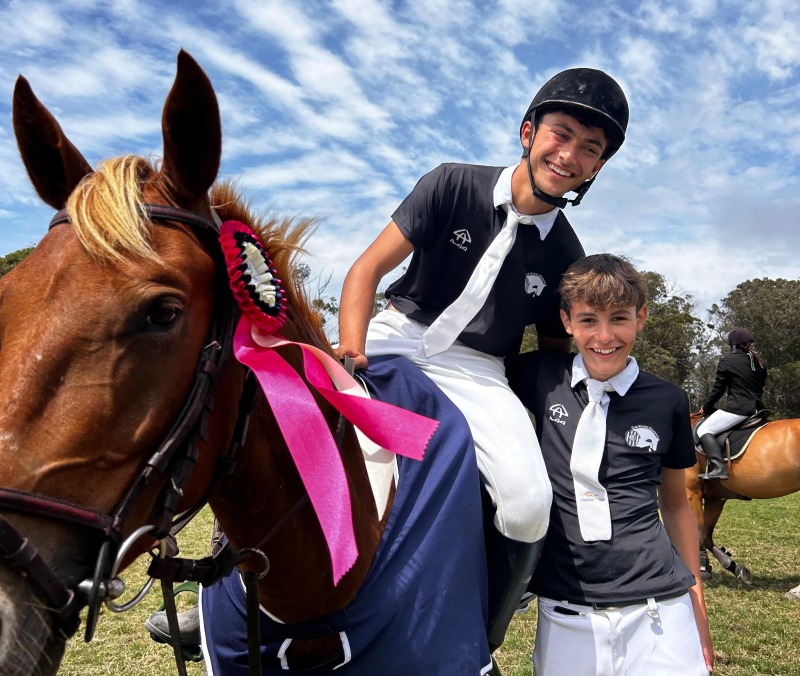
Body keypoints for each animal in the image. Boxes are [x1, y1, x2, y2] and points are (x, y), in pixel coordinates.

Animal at [684, 410, 800, 588]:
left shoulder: (692, 492)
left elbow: (700, 533)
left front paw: (703, 569)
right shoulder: (715, 499)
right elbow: (707, 536)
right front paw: (735, 568)